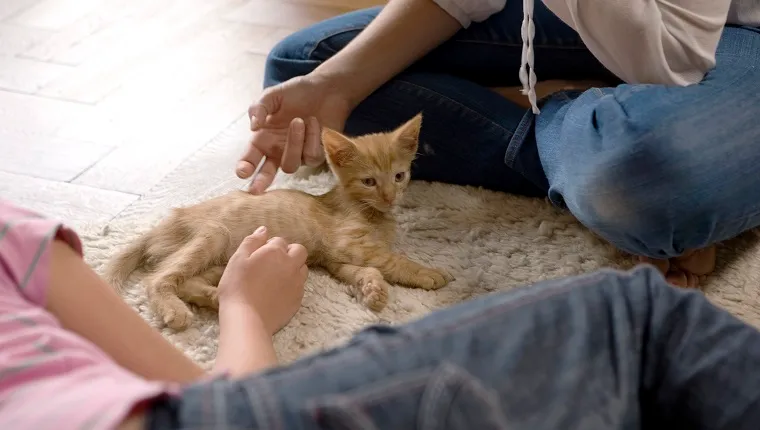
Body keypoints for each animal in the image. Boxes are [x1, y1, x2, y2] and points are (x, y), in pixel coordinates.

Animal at [104, 114, 454, 330]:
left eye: (399, 176)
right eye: (369, 182)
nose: (390, 197)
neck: (368, 211)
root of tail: (165, 224)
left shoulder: (336, 259)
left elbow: (363, 270)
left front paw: (373, 289)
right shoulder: (347, 244)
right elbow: (392, 260)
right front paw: (426, 273)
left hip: (229, 255)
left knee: (189, 281)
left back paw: (220, 299)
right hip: (215, 235)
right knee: (158, 278)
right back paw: (175, 310)